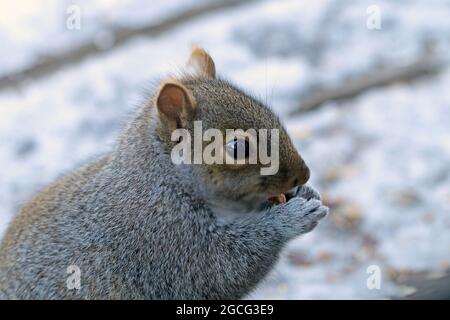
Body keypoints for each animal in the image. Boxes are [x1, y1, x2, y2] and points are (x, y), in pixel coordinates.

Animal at [0, 48, 326, 300]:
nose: (304, 175)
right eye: (237, 147)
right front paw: (290, 219)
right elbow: (222, 268)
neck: (161, 179)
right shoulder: (163, 237)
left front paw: (304, 194)